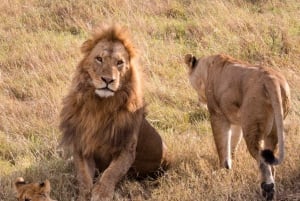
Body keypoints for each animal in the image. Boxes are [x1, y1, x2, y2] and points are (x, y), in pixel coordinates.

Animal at [59, 24, 170, 200]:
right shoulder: (83, 146)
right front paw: (86, 194)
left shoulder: (126, 148)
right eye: (99, 59)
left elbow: (112, 172)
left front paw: (101, 193)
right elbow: (84, 178)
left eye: (119, 63)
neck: (101, 106)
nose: (108, 80)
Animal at [184, 53, 290, 199]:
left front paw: (222, 170)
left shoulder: (217, 116)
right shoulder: (236, 121)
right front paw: (230, 165)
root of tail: (271, 79)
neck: (207, 68)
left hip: (252, 128)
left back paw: (267, 189)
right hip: (273, 130)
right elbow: (232, 144)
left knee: (262, 160)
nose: (199, 101)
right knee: (271, 161)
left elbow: (222, 145)